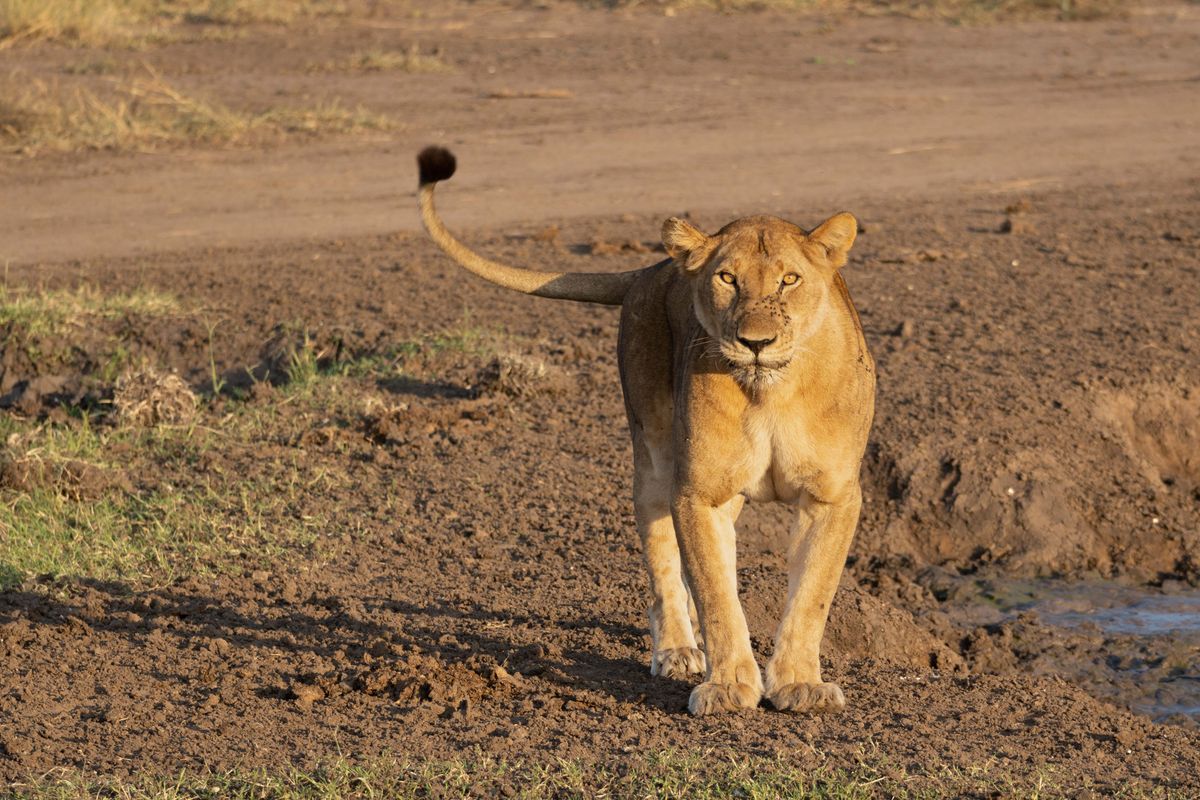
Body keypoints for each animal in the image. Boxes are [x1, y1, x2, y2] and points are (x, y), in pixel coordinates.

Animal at [416, 146, 875, 715]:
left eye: (789, 280)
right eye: (727, 279)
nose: (756, 342)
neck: (769, 391)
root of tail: (654, 268)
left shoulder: (833, 495)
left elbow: (812, 594)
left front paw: (798, 684)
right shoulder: (698, 492)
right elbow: (717, 594)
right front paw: (728, 685)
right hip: (655, 457)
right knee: (664, 565)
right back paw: (678, 647)